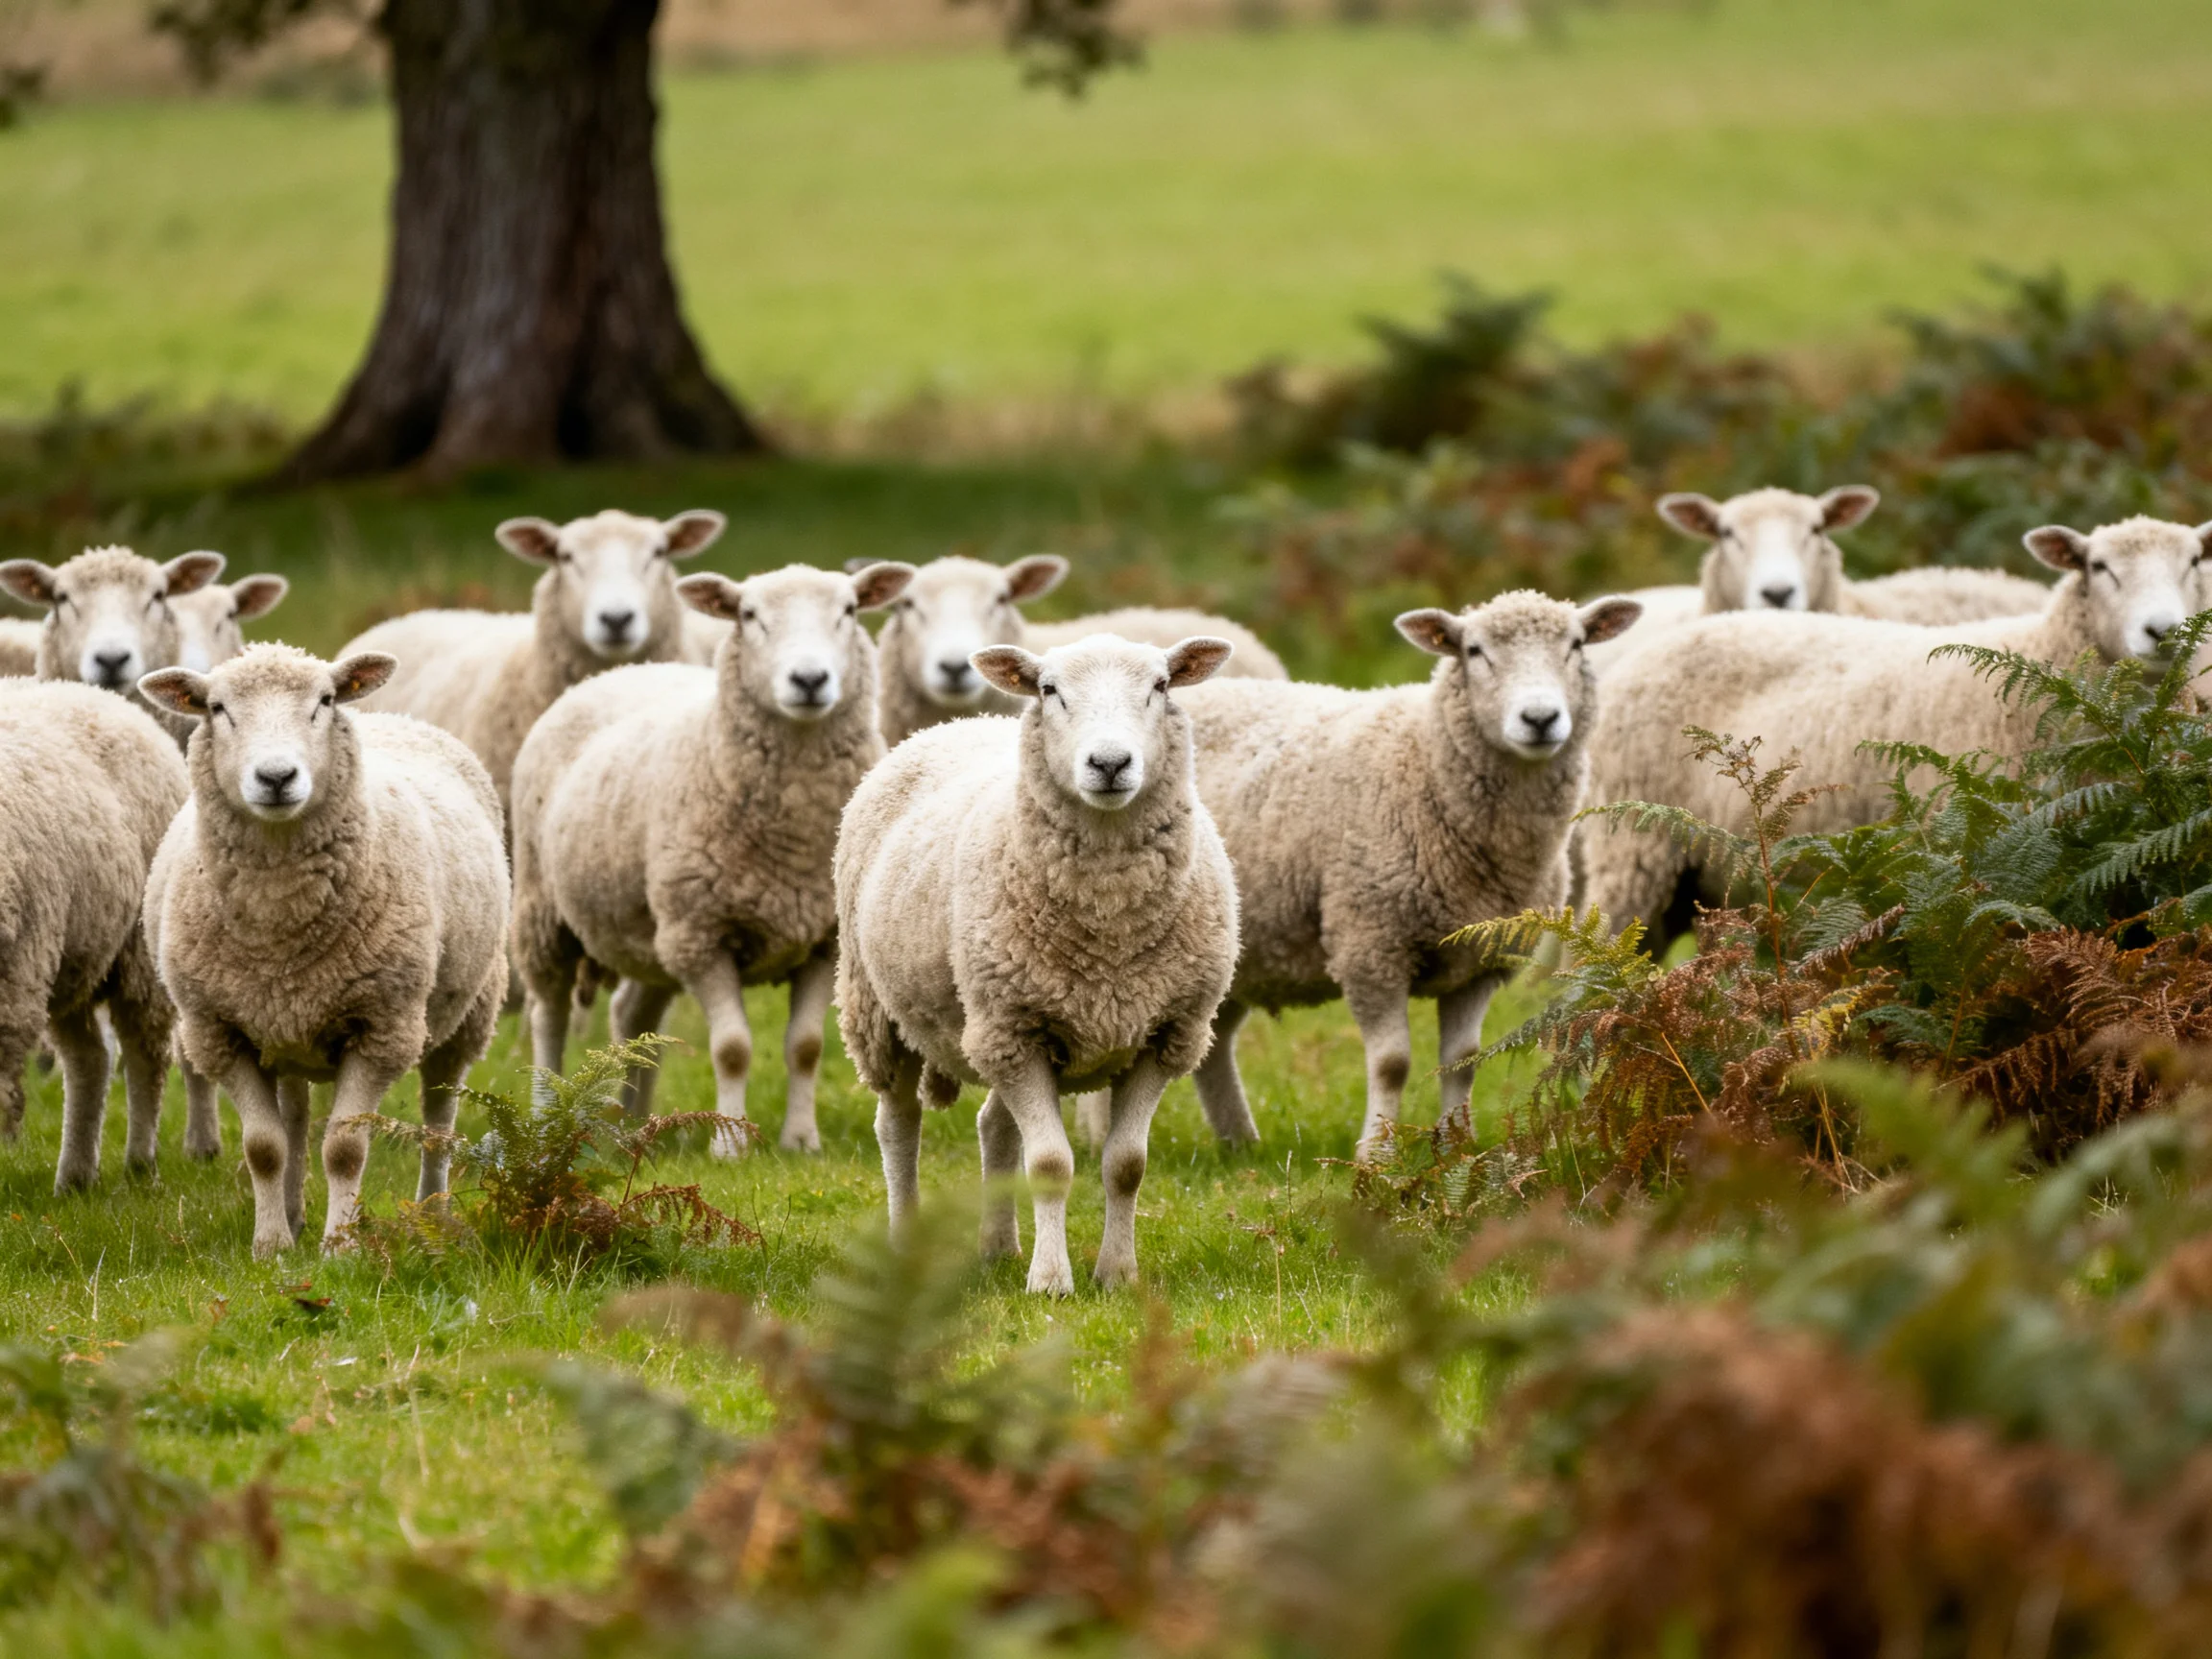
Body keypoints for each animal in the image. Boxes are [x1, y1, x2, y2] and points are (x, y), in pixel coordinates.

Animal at [0, 680, 190, 1192]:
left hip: (137, 954)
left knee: (146, 1056)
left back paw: (140, 1165)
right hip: (77, 956)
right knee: (91, 1061)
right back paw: (77, 1177)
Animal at [139, 645, 509, 1257]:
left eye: (325, 701)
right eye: (217, 708)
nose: (276, 777)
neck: (279, 920)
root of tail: (394, 717)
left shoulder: (382, 1028)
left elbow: (344, 1148)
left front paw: (342, 1247)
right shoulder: (218, 1031)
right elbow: (265, 1147)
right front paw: (271, 1246)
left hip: (468, 1012)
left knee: (439, 1119)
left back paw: (435, 1216)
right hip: (284, 1028)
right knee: (293, 1118)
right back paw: (291, 1213)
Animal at [510, 562, 916, 1155]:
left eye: (848, 610)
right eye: (749, 616)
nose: (810, 680)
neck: (795, 832)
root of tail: (627, 669)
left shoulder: (824, 939)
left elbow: (806, 1046)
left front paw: (801, 1141)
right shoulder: (703, 936)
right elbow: (732, 1047)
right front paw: (729, 1145)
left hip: (653, 931)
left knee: (631, 1018)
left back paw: (630, 1123)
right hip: (547, 911)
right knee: (549, 1014)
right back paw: (545, 1116)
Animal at [836, 632, 1240, 1295]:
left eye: (1160, 685)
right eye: (1051, 690)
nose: (1110, 764)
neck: (1109, 921)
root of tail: (960, 722)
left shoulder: (1163, 1034)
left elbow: (1127, 1164)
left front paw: (1117, 1274)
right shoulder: (1015, 1034)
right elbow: (1050, 1163)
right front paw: (1051, 1282)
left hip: (999, 1023)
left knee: (994, 1128)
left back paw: (999, 1246)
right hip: (884, 1011)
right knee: (897, 1126)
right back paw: (903, 1246)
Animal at [1167, 591, 1642, 1160]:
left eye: (1576, 645)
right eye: (1474, 651)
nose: (1540, 718)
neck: (1426, 762)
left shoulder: (1480, 957)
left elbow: (1463, 1057)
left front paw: (1458, 1144)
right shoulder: (1371, 943)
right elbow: (1392, 1064)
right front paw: (1376, 1153)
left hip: (1235, 955)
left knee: (1213, 1047)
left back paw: (1239, 1143)